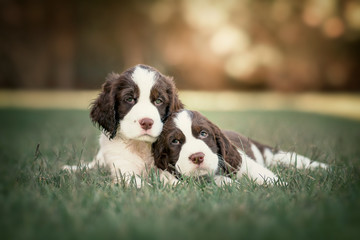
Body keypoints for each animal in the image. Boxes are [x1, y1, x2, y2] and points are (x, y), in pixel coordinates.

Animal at [150, 109, 328, 187]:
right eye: (175, 141)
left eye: (203, 133)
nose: (197, 157)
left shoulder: (242, 162)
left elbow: (265, 176)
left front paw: (281, 187)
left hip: (271, 154)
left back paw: (325, 168)